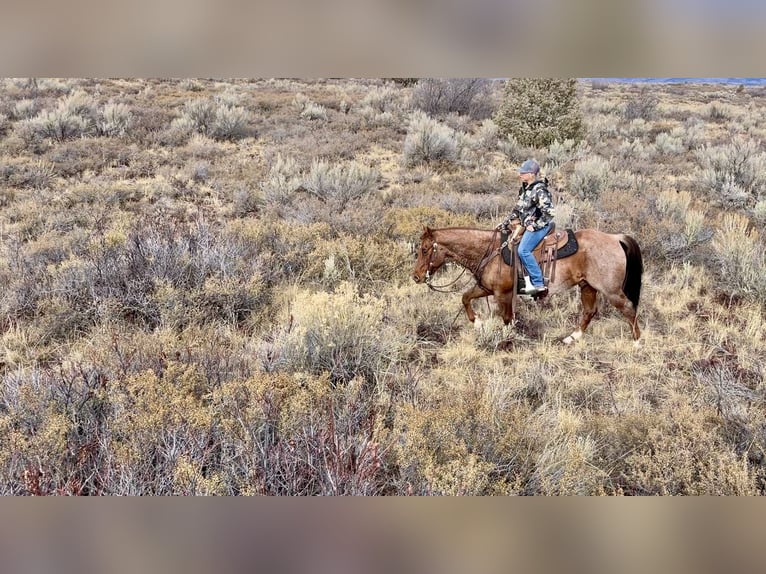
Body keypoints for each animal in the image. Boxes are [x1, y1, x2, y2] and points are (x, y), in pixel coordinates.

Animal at [411, 226, 643, 344]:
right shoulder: (486, 289)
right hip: (587, 286)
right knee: (589, 311)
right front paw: (478, 323)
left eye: (424, 249)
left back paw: (636, 342)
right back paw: (571, 338)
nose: (416, 276)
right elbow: (465, 297)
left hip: (611, 290)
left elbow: (507, 319)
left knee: (628, 309)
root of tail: (615, 238)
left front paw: (506, 341)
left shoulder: (503, 294)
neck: (490, 251)